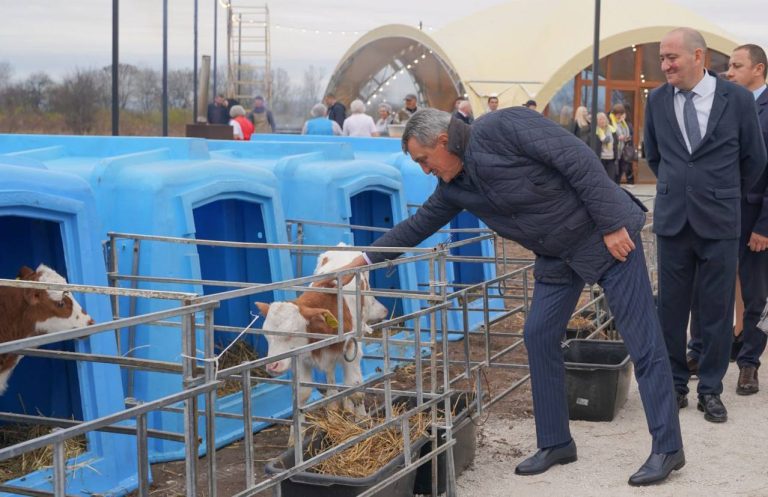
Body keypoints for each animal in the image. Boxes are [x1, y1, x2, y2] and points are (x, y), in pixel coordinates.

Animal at [256, 284, 368, 416]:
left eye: (293, 332)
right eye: (265, 333)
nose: (272, 366)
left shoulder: (352, 351)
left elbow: (355, 390)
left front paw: (362, 417)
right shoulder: (301, 358)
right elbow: (303, 394)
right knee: (330, 372)